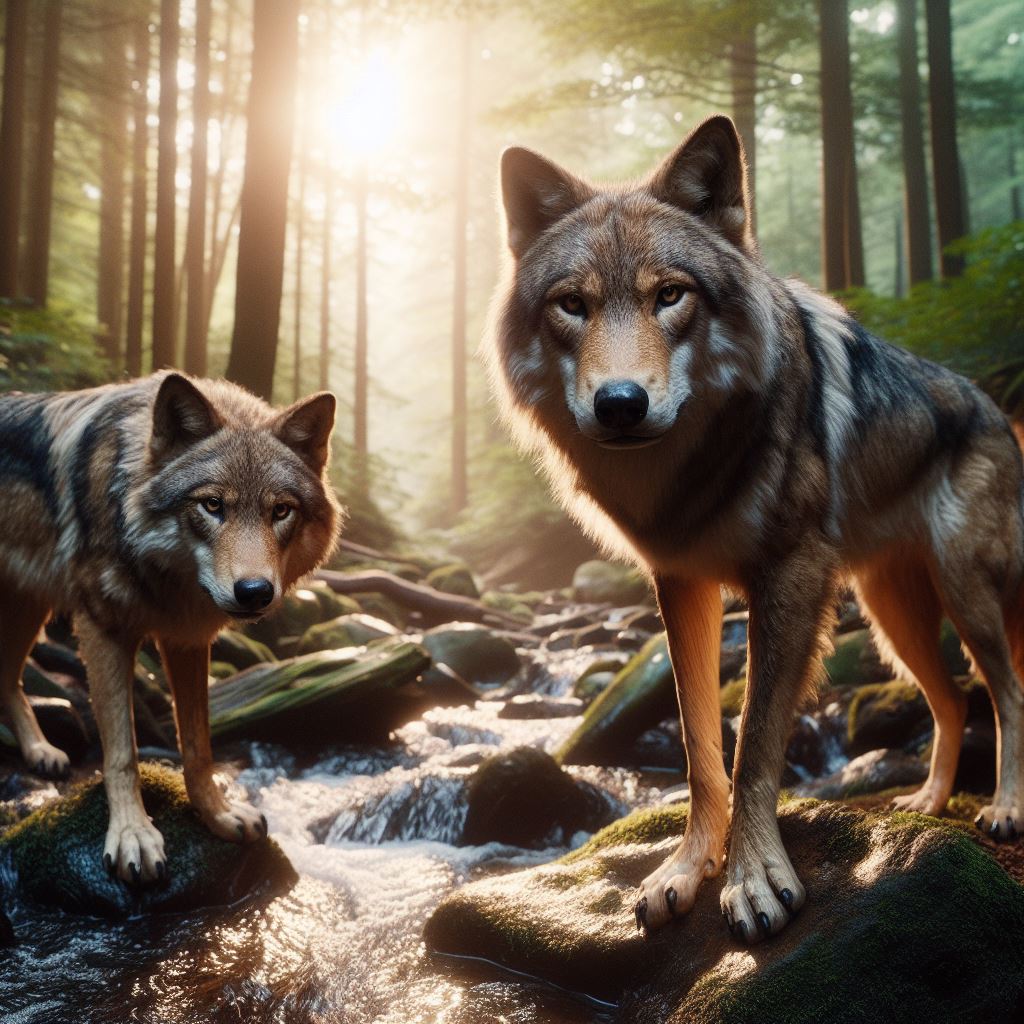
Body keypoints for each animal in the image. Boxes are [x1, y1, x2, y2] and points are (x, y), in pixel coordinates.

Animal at [0, 371, 342, 883]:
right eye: (213, 505)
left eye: (281, 511)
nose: (254, 591)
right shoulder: (102, 628)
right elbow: (123, 753)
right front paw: (132, 835)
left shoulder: (187, 637)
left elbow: (198, 747)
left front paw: (218, 814)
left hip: (30, 605)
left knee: (8, 679)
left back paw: (40, 749)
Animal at [488, 115, 1024, 944]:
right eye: (571, 305)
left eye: (670, 295)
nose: (620, 403)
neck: (695, 464)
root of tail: (998, 409)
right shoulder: (680, 583)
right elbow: (700, 746)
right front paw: (685, 871)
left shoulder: (790, 579)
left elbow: (753, 749)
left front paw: (752, 879)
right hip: (893, 615)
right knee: (953, 702)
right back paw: (930, 803)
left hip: (965, 594)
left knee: (1005, 694)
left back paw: (1003, 807)